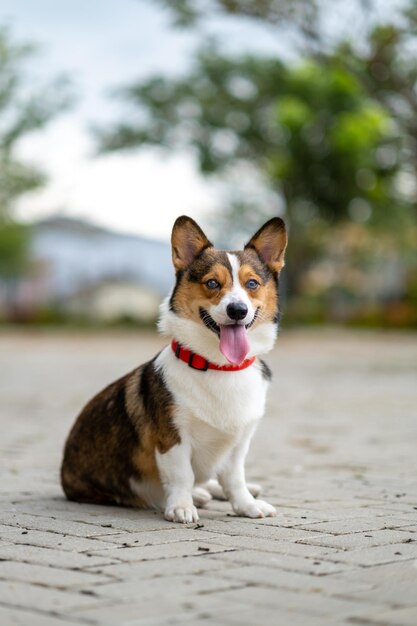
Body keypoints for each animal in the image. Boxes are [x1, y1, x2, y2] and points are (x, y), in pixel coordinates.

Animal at [61, 214, 286, 520]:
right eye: (212, 283)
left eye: (251, 284)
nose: (238, 310)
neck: (219, 367)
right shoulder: (173, 438)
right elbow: (182, 476)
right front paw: (181, 507)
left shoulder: (239, 443)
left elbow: (234, 478)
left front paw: (246, 505)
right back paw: (198, 496)